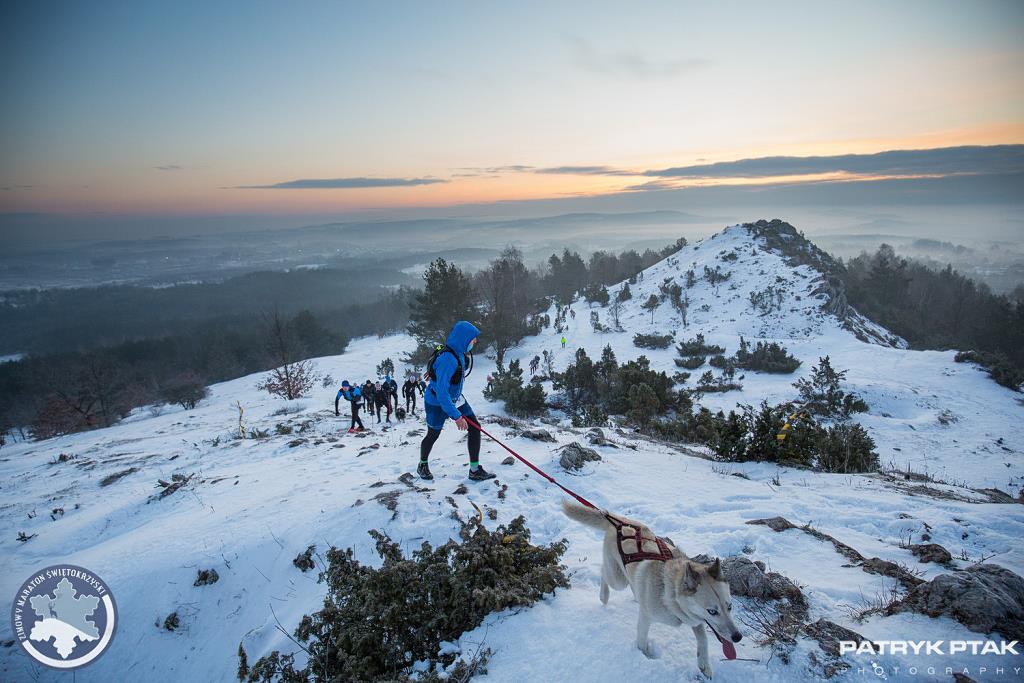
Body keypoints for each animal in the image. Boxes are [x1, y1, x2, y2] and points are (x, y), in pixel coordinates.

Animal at [565, 499, 741, 679]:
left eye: (730, 606)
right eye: (712, 611)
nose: (737, 637)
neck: (669, 592)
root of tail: (618, 523)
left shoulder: (694, 619)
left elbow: (703, 638)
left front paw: (704, 664)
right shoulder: (647, 617)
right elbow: (642, 642)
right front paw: (645, 656)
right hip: (617, 580)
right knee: (604, 572)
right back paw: (604, 595)